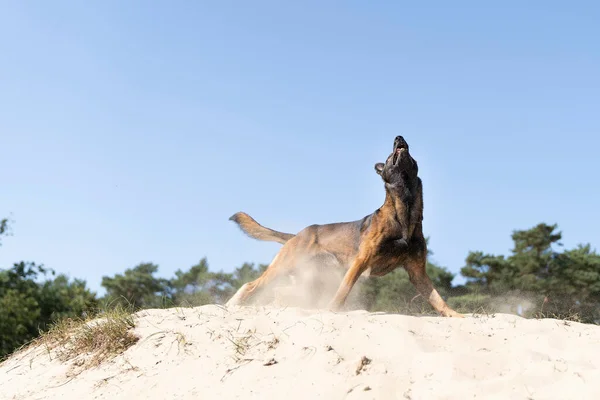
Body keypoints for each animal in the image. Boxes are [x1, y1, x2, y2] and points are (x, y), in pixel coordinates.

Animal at [225, 136, 464, 318]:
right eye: (389, 157)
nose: (399, 137)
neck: (404, 211)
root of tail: (297, 235)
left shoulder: (417, 272)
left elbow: (437, 298)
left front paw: (456, 315)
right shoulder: (360, 261)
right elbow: (343, 290)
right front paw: (331, 310)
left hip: (307, 278)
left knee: (281, 293)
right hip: (283, 267)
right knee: (251, 286)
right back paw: (231, 305)